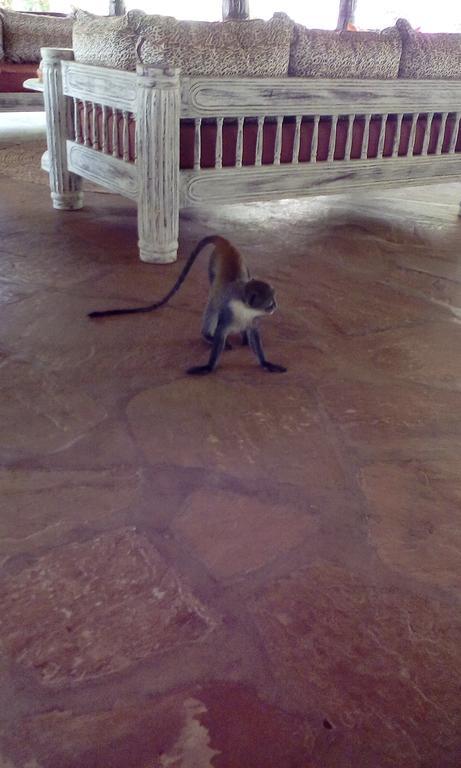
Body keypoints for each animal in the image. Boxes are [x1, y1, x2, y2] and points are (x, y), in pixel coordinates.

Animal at [87, 236, 286, 376]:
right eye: (270, 303)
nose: (276, 307)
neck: (245, 308)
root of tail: (226, 244)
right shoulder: (229, 309)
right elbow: (221, 330)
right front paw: (208, 367)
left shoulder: (252, 317)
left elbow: (254, 333)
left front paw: (265, 363)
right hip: (213, 266)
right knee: (213, 302)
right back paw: (207, 335)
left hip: (244, 265)